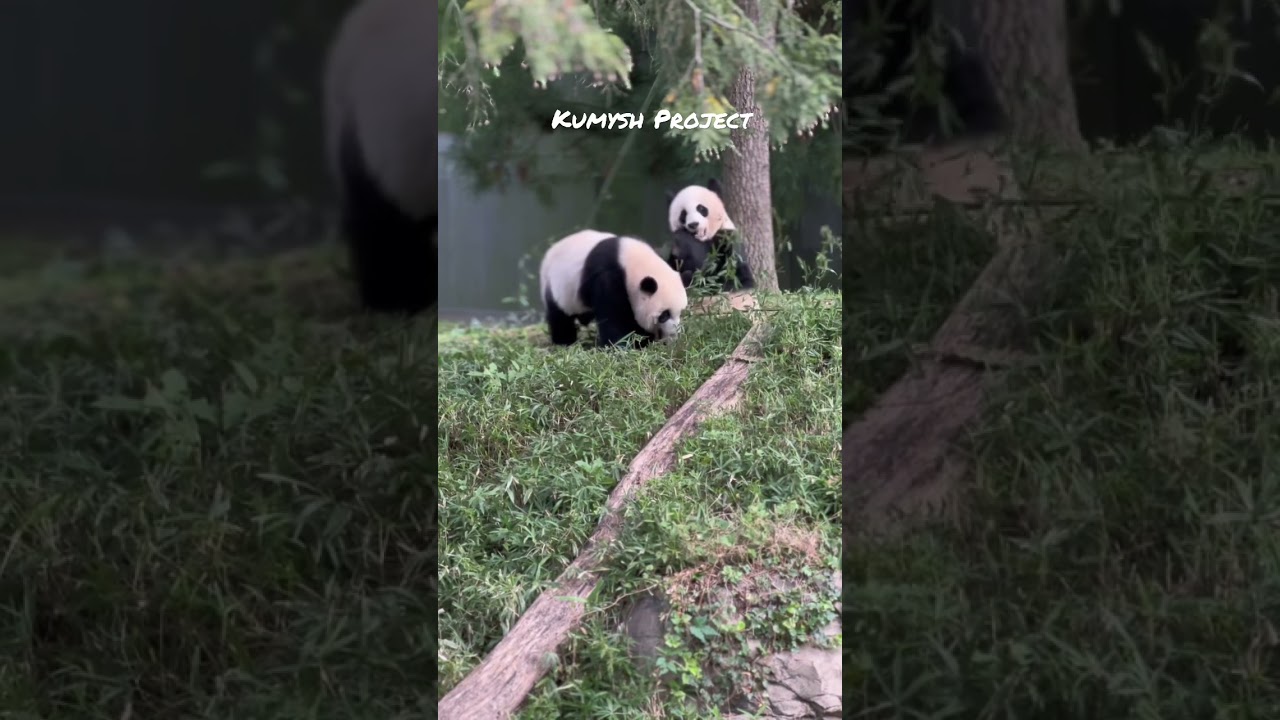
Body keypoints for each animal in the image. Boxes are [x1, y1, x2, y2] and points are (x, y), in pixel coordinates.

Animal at [539, 230, 688, 348]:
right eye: (664, 315)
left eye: (681, 311)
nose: (673, 334)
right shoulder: (607, 278)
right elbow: (613, 317)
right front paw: (624, 345)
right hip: (557, 286)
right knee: (559, 317)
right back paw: (564, 342)